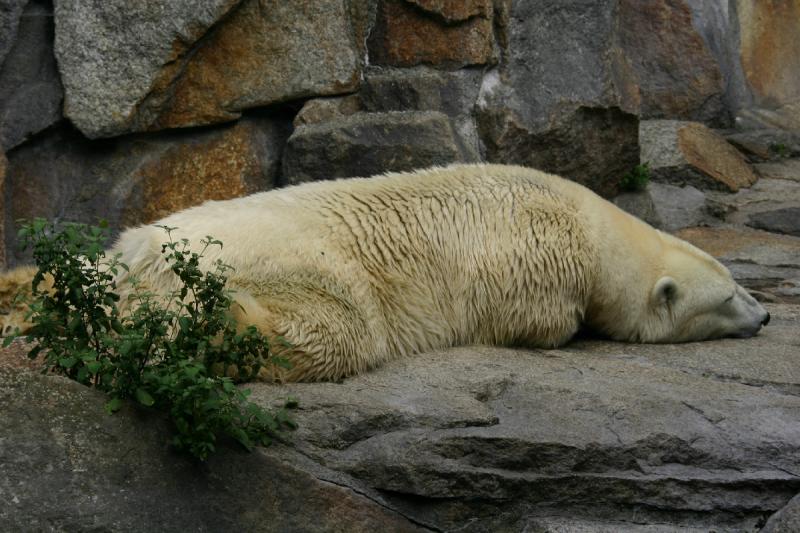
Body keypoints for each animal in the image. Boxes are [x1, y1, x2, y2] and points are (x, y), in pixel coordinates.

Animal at [3, 164, 772, 380]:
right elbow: (538, 319)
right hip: (298, 264)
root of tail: (140, 255)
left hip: (122, 255)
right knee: (335, 329)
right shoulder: (530, 258)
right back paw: (226, 317)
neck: (590, 228)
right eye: (730, 296)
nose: (767, 316)